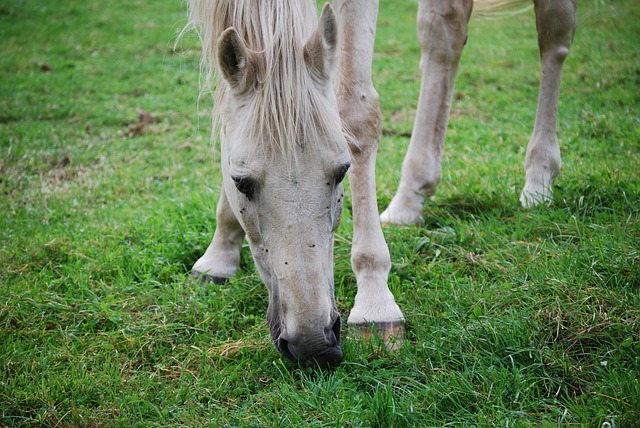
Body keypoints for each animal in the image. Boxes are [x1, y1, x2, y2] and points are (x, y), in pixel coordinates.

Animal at [188, 0, 576, 368]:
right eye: (241, 183)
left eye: (342, 171)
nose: (314, 344)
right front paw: (220, 251)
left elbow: (356, 113)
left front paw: (374, 300)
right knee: (444, 35)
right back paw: (410, 198)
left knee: (554, 31)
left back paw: (539, 177)